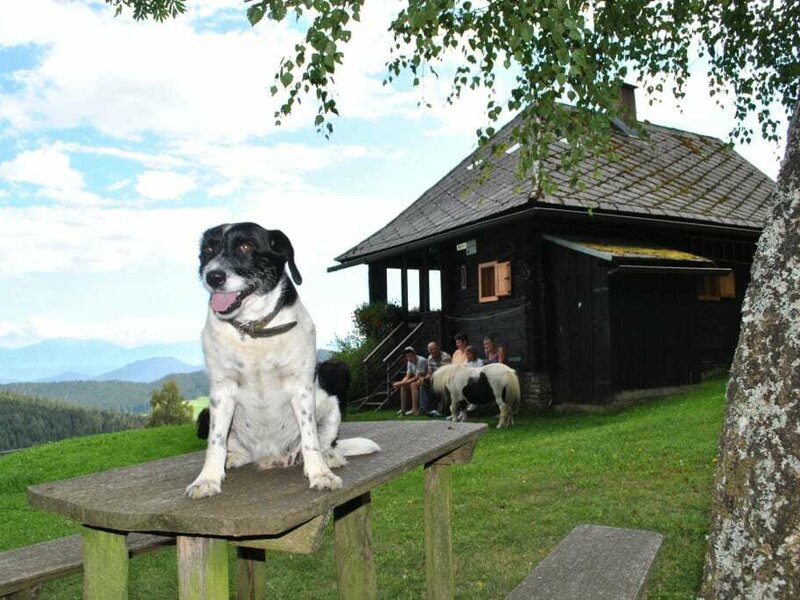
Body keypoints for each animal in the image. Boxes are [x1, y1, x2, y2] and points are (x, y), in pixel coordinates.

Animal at [186, 223, 380, 500]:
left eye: (246, 246)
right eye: (208, 251)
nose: (213, 276)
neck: (255, 329)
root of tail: (271, 458)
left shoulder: (301, 387)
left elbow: (310, 438)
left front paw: (320, 473)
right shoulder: (222, 390)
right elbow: (216, 441)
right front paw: (208, 479)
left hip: (331, 405)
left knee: (326, 443)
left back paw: (330, 458)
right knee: (233, 446)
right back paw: (234, 457)